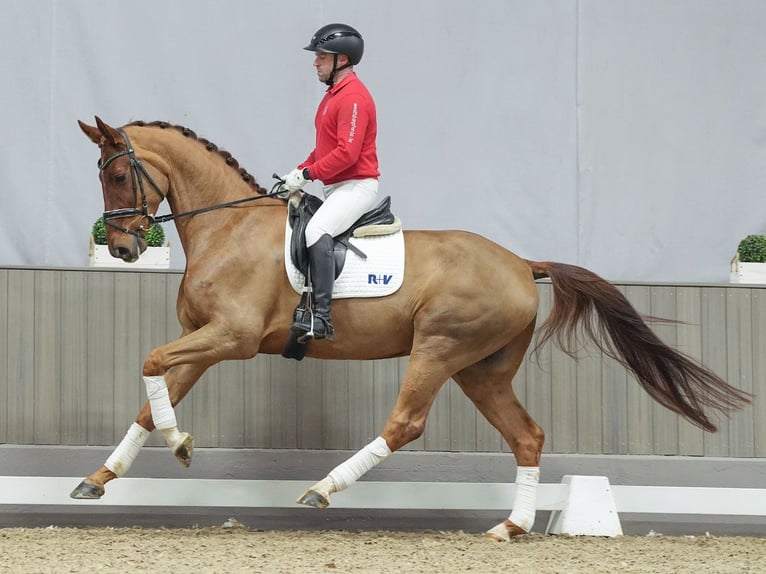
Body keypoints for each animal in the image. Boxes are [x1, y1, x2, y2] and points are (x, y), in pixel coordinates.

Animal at [69, 119, 752, 544]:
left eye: (118, 175)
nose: (124, 248)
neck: (227, 228)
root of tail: (520, 262)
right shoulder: (204, 341)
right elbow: (153, 393)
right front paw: (100, 479)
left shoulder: (231, 338)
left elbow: (151, 363)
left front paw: (181, 446)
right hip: (481, 370)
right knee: (527, 436)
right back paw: (510, 528)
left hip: (440, 349)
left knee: (405, 423)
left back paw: (321, 490)